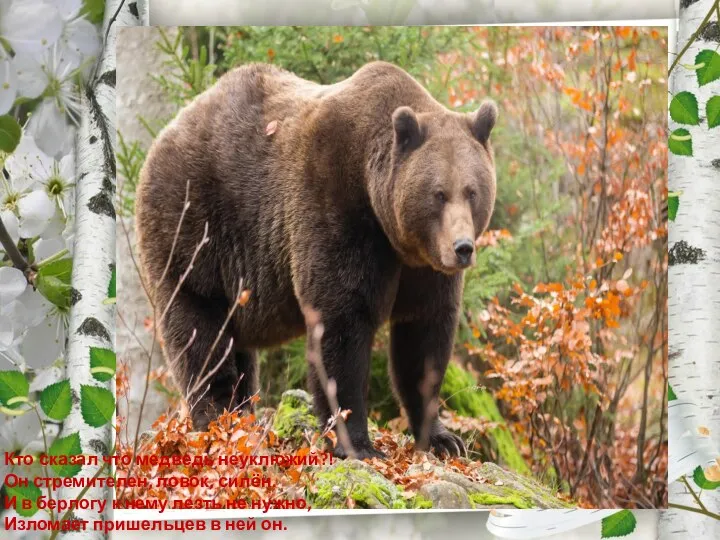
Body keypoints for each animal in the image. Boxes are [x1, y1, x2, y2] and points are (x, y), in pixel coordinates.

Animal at [136, 62, 496, 460]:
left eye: (472, 191)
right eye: (439, 194)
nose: (462, 248)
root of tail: (166, 132)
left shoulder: (423, 270)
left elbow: (424, 338)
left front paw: (443, 438)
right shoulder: (334, 207)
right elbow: (341, 324)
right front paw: (357, 443)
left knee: (236, 344)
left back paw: (243, 417)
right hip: (194, 225)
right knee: (200, 329)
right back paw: (217, 420)